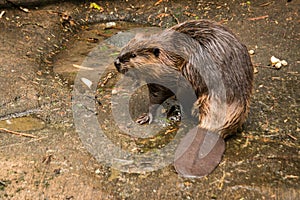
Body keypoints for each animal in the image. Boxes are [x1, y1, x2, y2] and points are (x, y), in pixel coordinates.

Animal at [114, 19, 253, 177]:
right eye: (125, 47)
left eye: (133, 55)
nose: (116, 62)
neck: (168, 52)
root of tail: (211, 129)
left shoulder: (167, 75)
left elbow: (158, 95)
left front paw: (145, 117)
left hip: (190, 73)